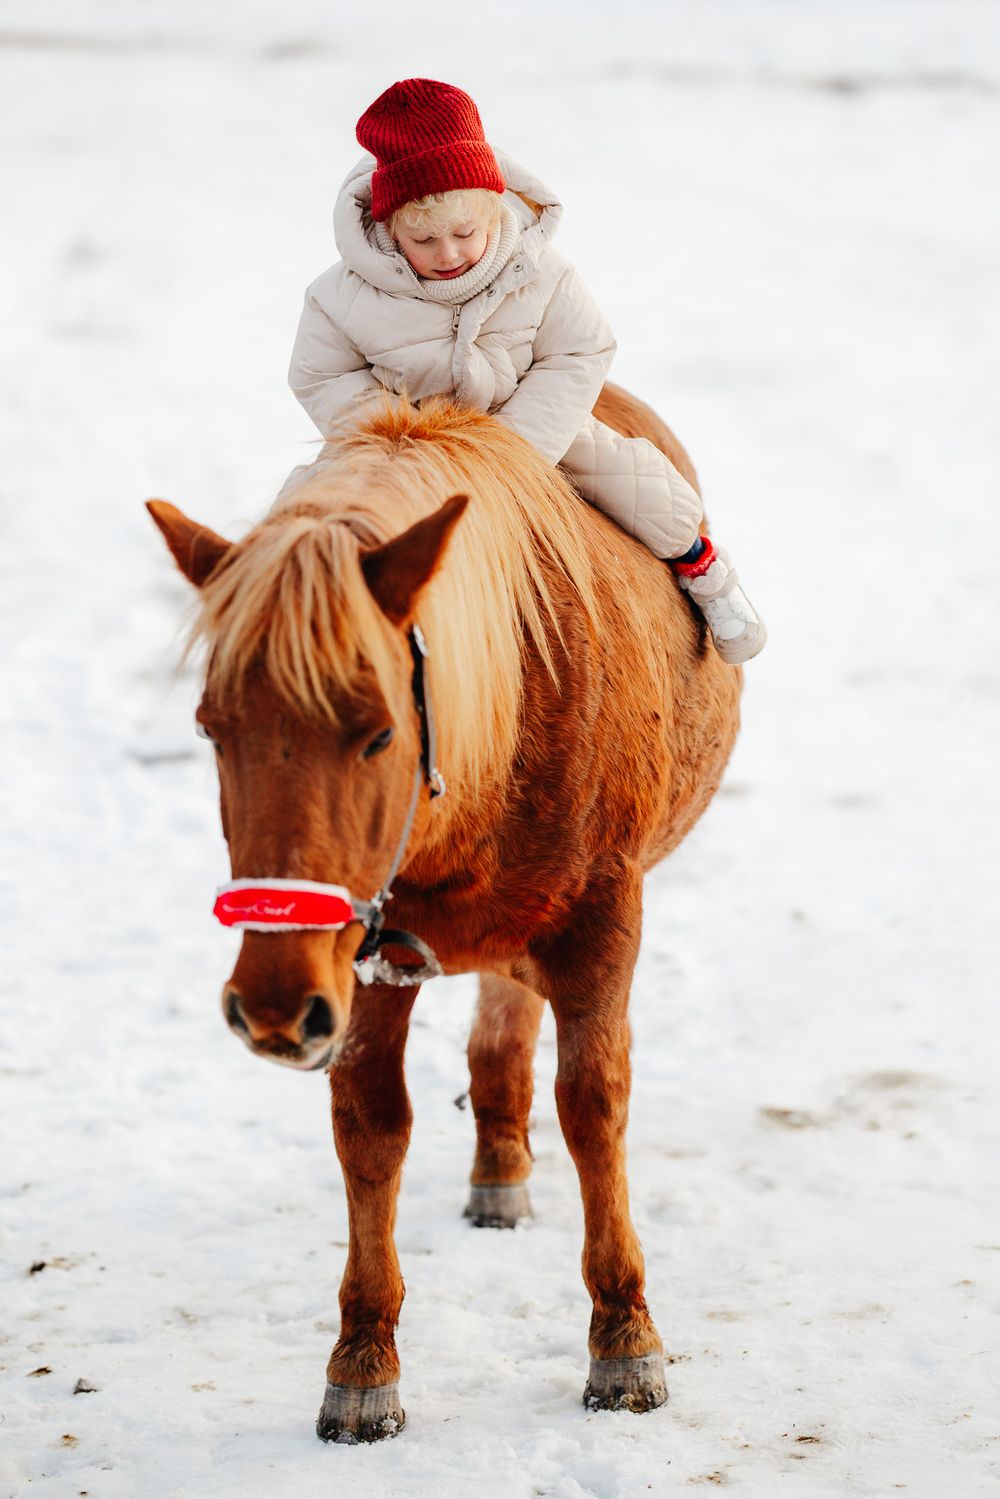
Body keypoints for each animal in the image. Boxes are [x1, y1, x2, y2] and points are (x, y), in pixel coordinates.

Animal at [147, 384, 742, 1443]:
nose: (271, 1007)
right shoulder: (364, 956)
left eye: (378, 731)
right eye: (213, 730)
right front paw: (362, 1360)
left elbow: (594, 1105)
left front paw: (624, 1337)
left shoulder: (601, 916)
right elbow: (369, 1120)